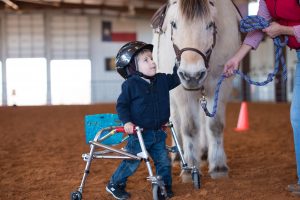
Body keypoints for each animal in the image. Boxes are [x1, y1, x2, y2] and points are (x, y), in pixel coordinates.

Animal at [152, 0, 241, 181]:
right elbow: (190, 128)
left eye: (210, 24)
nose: (192, 75)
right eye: (174, 24)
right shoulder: (181, 90)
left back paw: (205, 153)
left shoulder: (220, 84)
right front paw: (190, 168)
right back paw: (178, 157)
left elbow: (215, 125)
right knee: (176, 121)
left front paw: (218, 166)